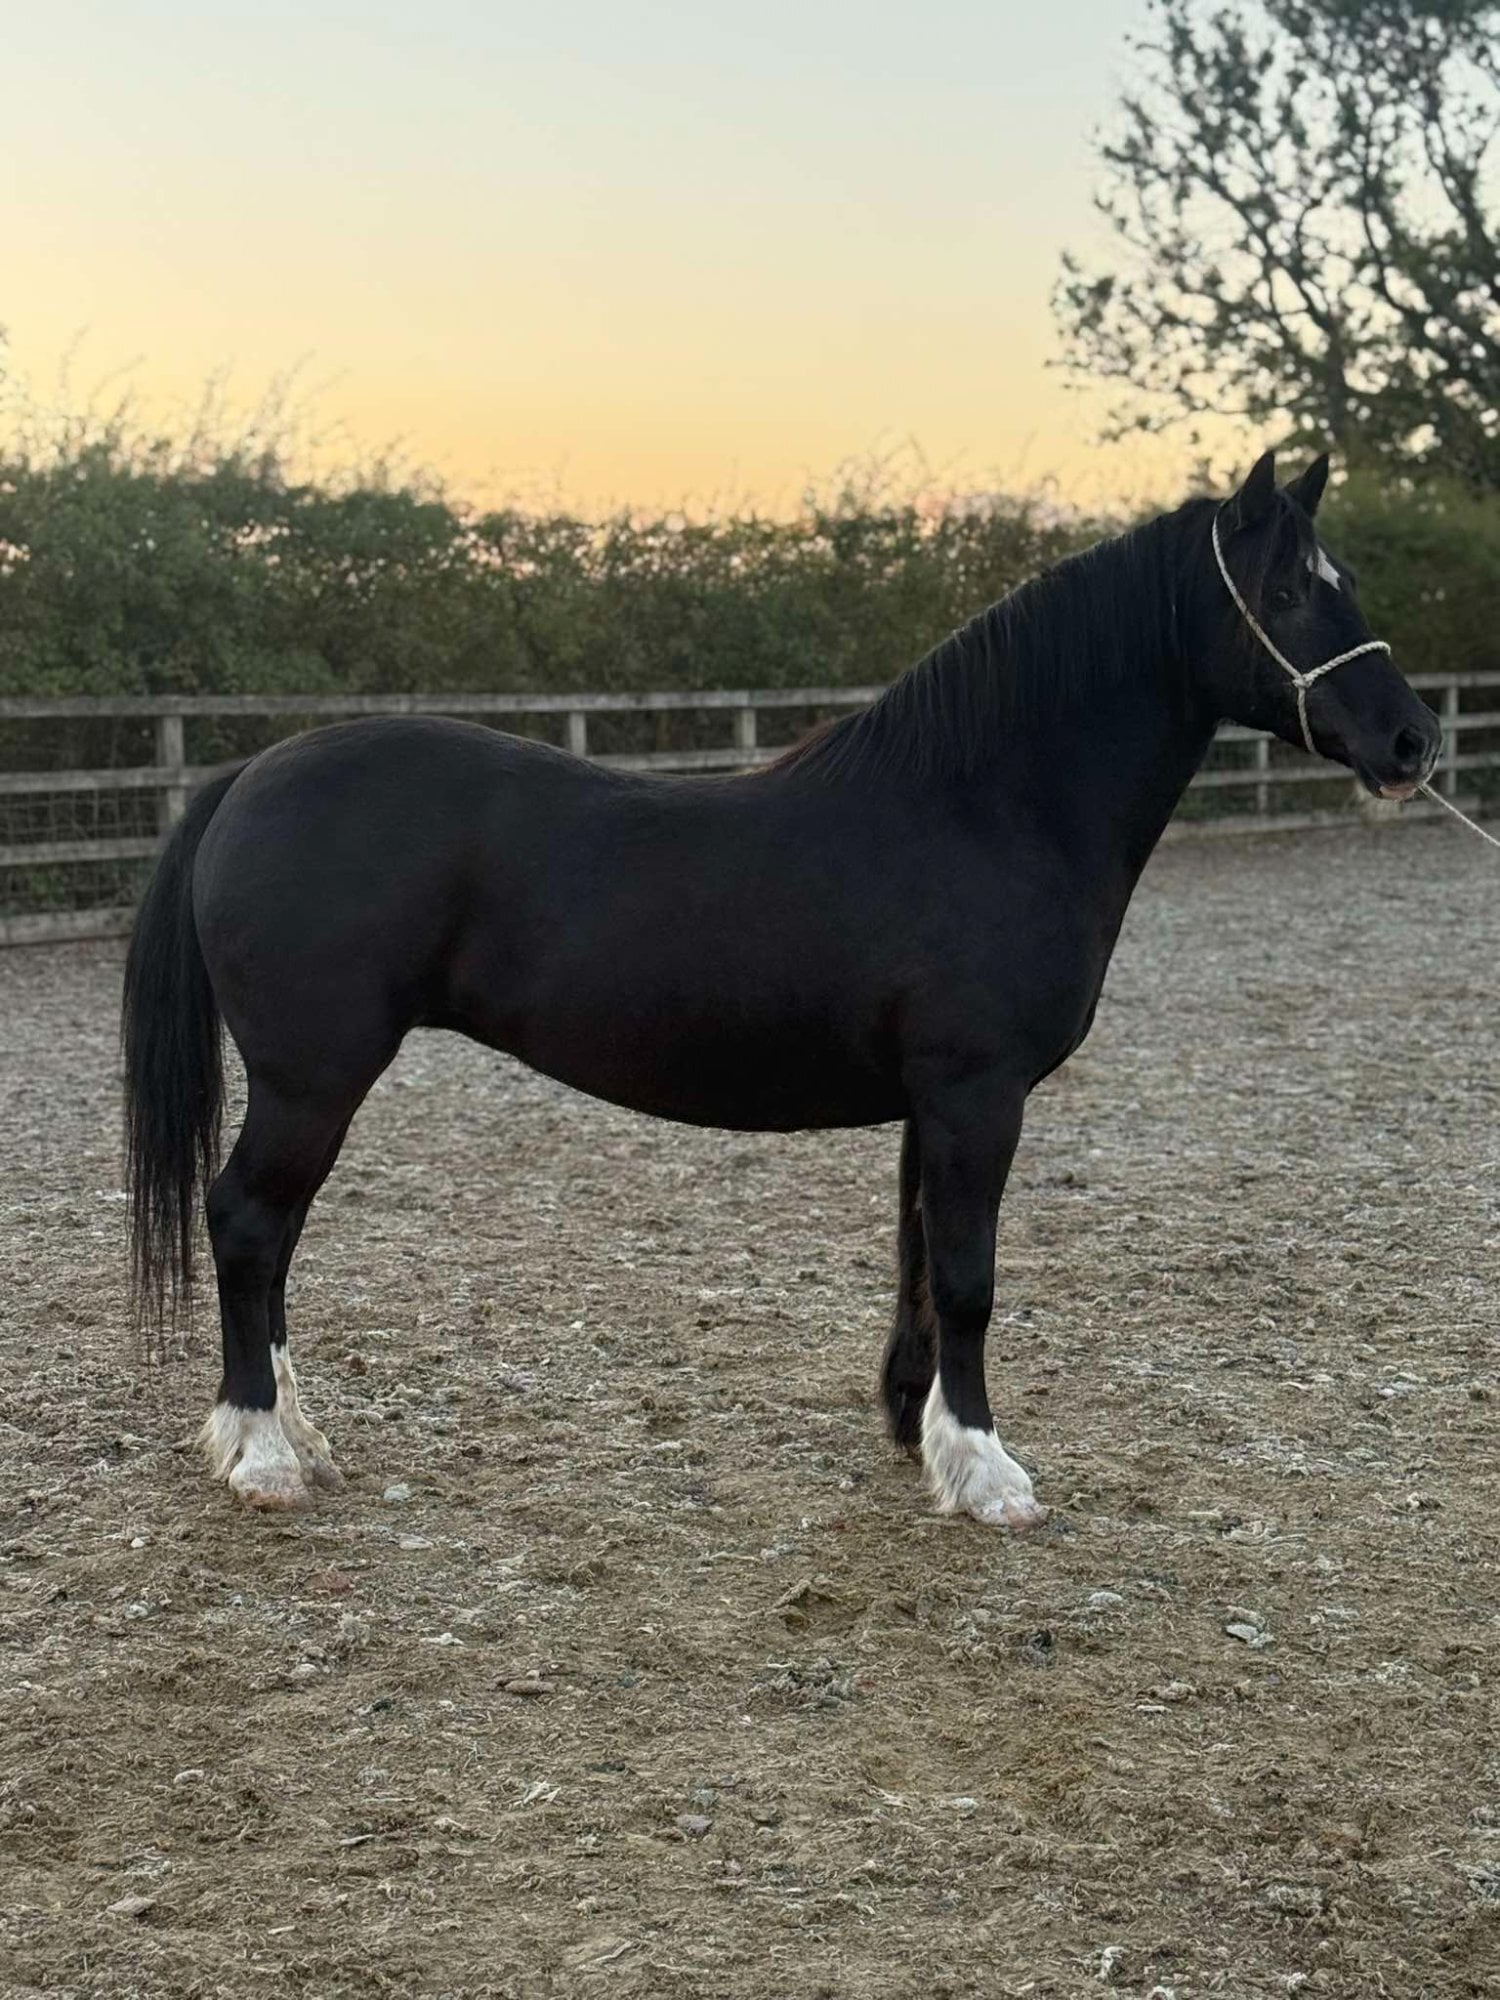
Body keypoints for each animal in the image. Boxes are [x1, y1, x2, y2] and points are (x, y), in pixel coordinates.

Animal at [122, 449, 1440, 1524]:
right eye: (1287, 593)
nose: (1413, 742)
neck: (984, 804)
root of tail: (250, 774)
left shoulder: (936, 1099)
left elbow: (919, 1264)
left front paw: (918, 1428)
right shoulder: (977, 1093)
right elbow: (970, 1277)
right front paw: (988, 1470)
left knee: (275, 1240)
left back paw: (297, 1430)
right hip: (314, 1075)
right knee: (248, 1223)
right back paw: (262, 1453)